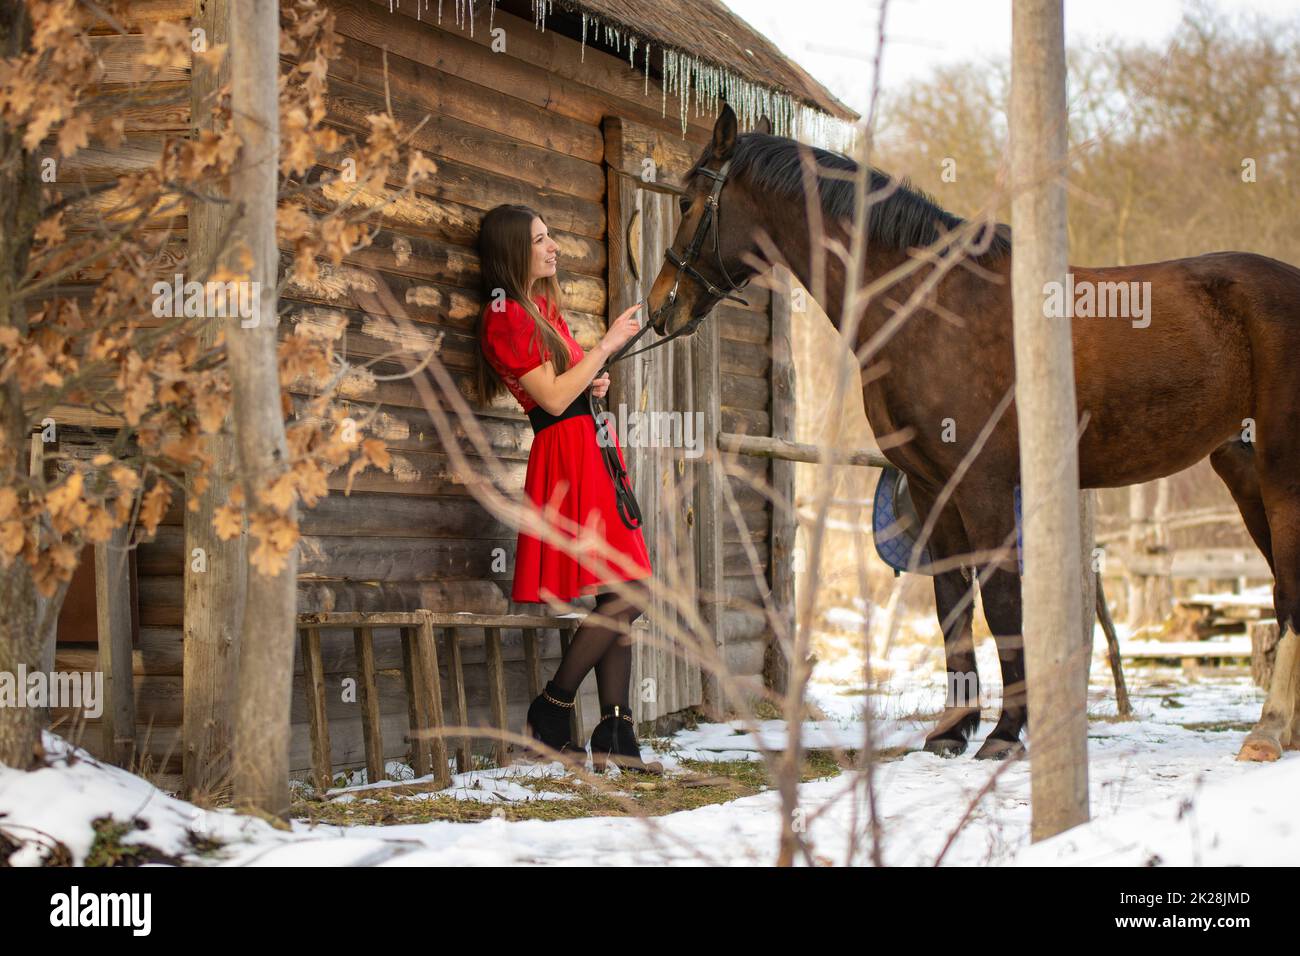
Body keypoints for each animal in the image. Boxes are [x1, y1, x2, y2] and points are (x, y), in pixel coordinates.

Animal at [647, 104, 1300, 764]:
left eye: (688, 201)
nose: (660, 310)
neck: (930, 306)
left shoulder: (984, 485)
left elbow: (1003, 602)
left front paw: (1006, 733)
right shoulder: (932, 486)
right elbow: (952, 603)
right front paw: (954, 728)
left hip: (1281, 473)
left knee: (1291, 592)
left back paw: (1267, 731)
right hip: (1242, 470)